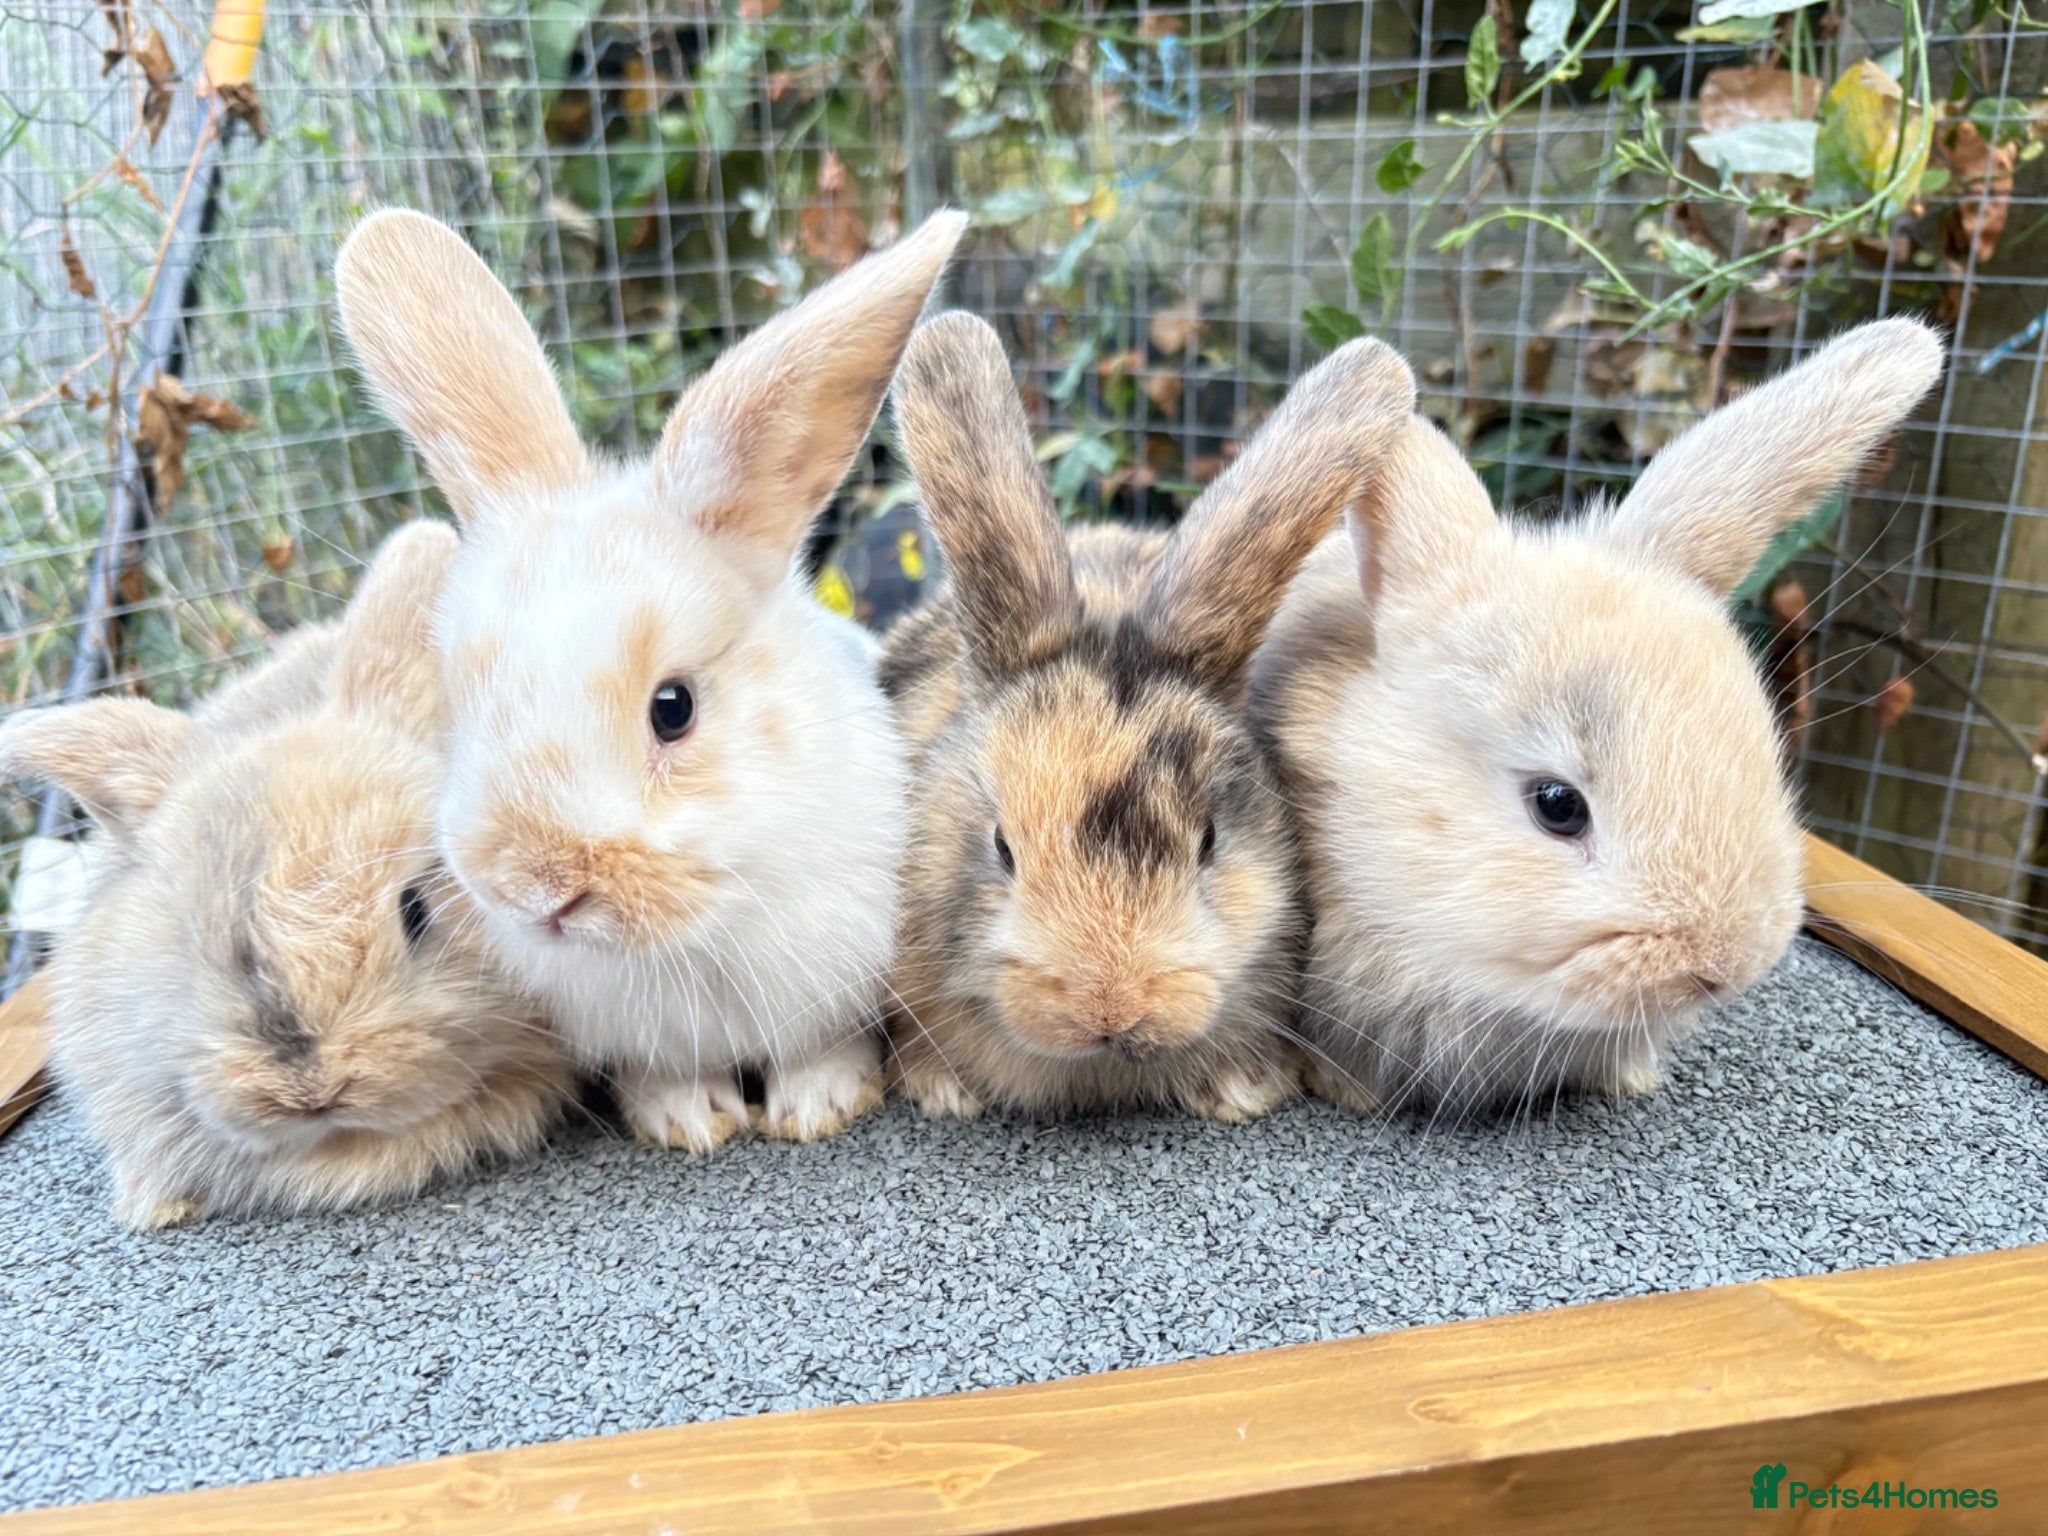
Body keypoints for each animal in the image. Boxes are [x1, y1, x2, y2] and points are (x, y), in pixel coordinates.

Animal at [333, 209, 966, 1152]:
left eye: (674, 708)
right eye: (463, 701)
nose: (539, 890)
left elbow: (820, 1046)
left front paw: (816, 1106)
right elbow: (666, 1073)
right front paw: (687, 1119)